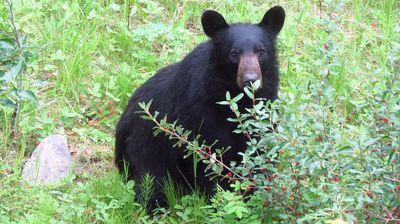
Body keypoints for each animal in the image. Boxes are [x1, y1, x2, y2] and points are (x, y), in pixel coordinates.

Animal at [114, 6, 286, 211]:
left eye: (261, 51)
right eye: (234, 53)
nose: (250, 80)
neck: (237, 99)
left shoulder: (264, 108)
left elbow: (260, 150)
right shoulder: (202, 113)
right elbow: (210, 160)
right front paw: (217, 201)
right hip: (146, 145)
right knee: (151, 181)